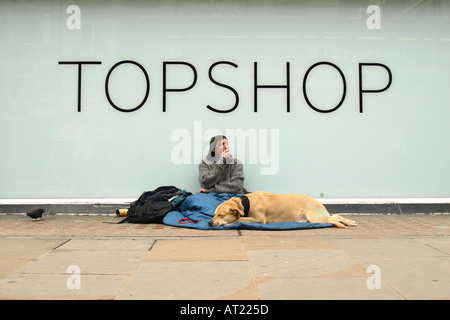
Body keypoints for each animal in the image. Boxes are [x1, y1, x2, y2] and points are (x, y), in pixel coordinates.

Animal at [208, 191, 358, 229]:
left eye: (220, 215)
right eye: (214, 214)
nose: (209, 223)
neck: (246, 203)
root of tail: (317, 202)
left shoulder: (259, 219)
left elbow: (239, 219)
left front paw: (232, 221)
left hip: (316, 217)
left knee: (334, 217)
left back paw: (349, 222)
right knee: (336, 216)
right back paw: (350, 222)